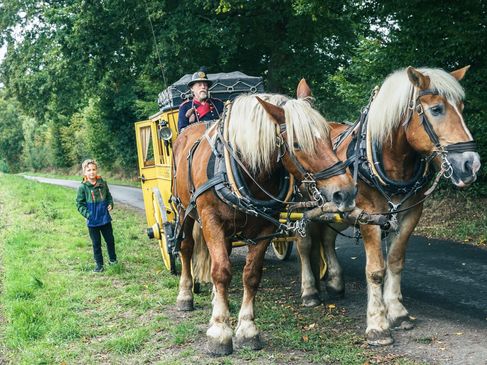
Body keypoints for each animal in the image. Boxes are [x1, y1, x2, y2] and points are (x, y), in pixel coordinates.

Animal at [173, 79, 356, 352]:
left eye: (327, 135)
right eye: (297, 144)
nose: (345, 192)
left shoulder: (264, 229)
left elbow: (251, 275)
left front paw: (247, 329)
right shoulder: (211, 221)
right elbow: (221, 272)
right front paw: (219, 331)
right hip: (184, 210)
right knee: (186, 248)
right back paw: (185, 295)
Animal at [298, 65, 480, 344]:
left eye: (461, 106)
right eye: (436, 109)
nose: (472, 164)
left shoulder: (410, 214)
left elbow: (395, 261)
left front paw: (397, 312)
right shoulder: (368, 217)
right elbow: (375, 270)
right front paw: (377, 325)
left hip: (337, 207)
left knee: (327, 238)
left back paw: (335, 283)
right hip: (301, 204)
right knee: (305, 244)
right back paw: (309, 291)